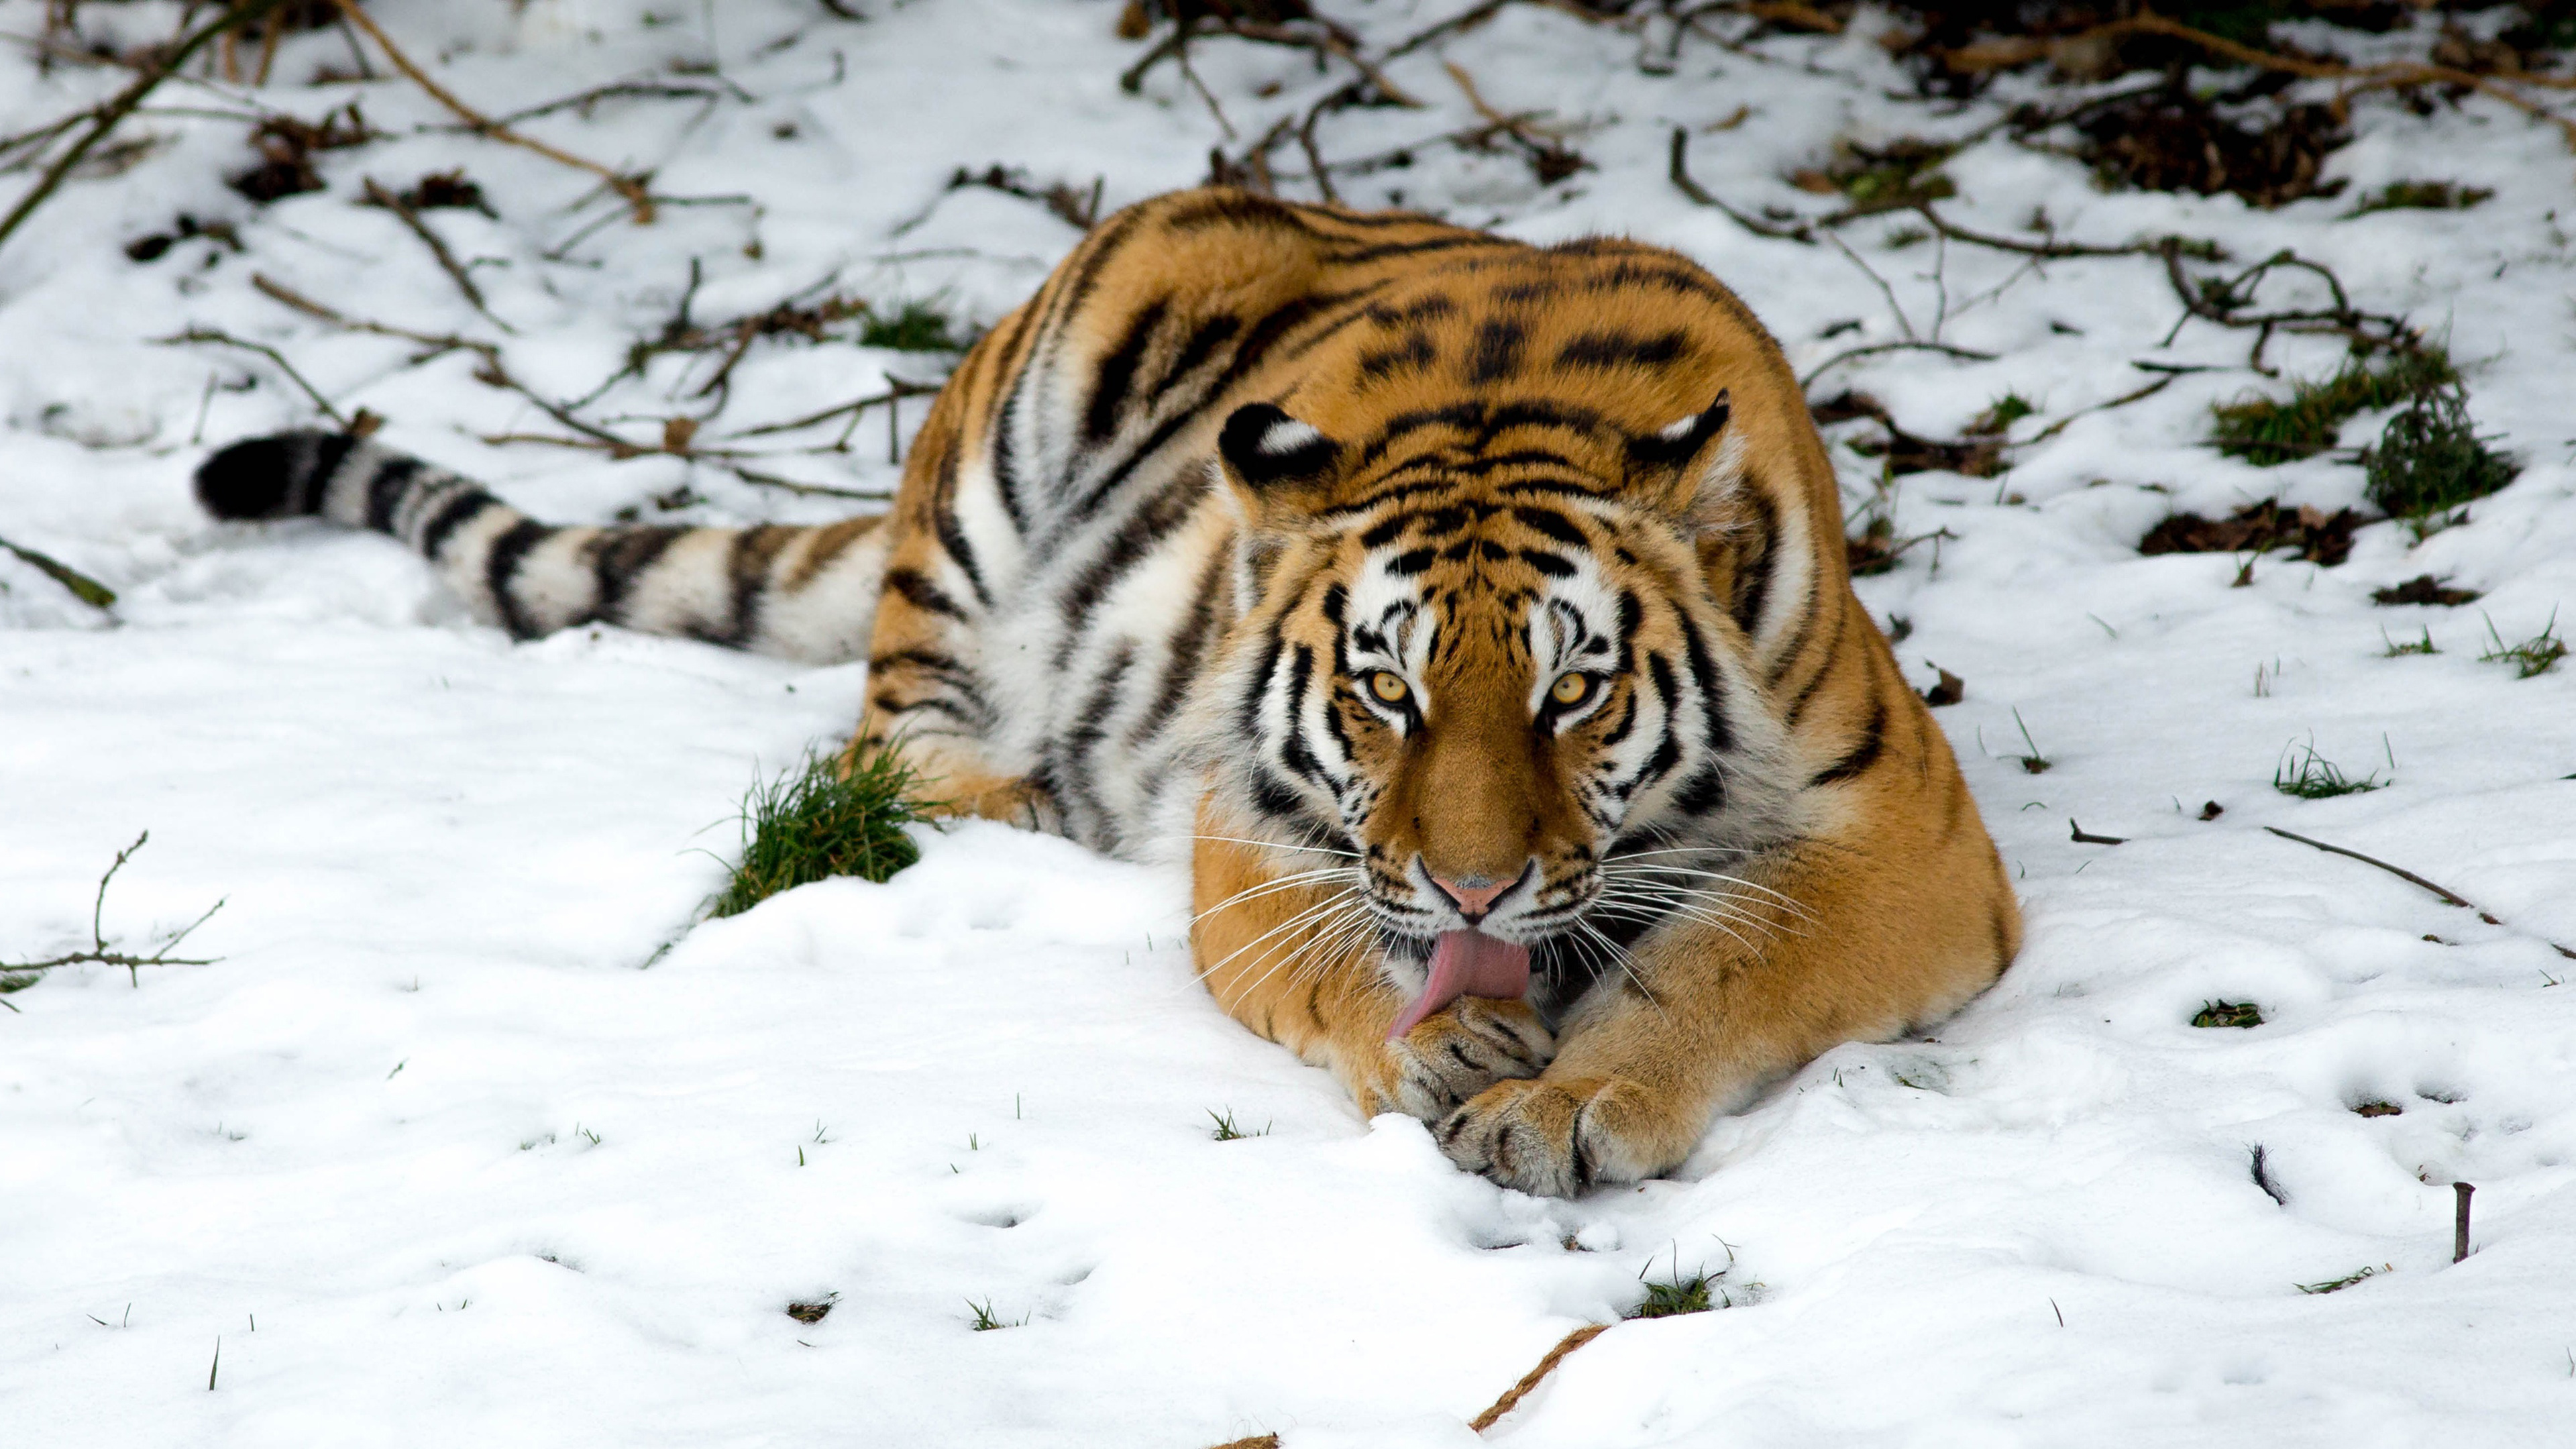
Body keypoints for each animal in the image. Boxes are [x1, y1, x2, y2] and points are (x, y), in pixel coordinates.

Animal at [194, 186, 2020, 1197]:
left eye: (1572, 694)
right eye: (1385, 687)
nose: (1472, 887)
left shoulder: (1907, 846)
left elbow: (1716, 958)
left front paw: (1566, 1103)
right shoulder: (1250, 831)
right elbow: (1332, 963)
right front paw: (1440, 1046)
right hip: (1011, 451)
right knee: (881, 753)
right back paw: (1028, 797)